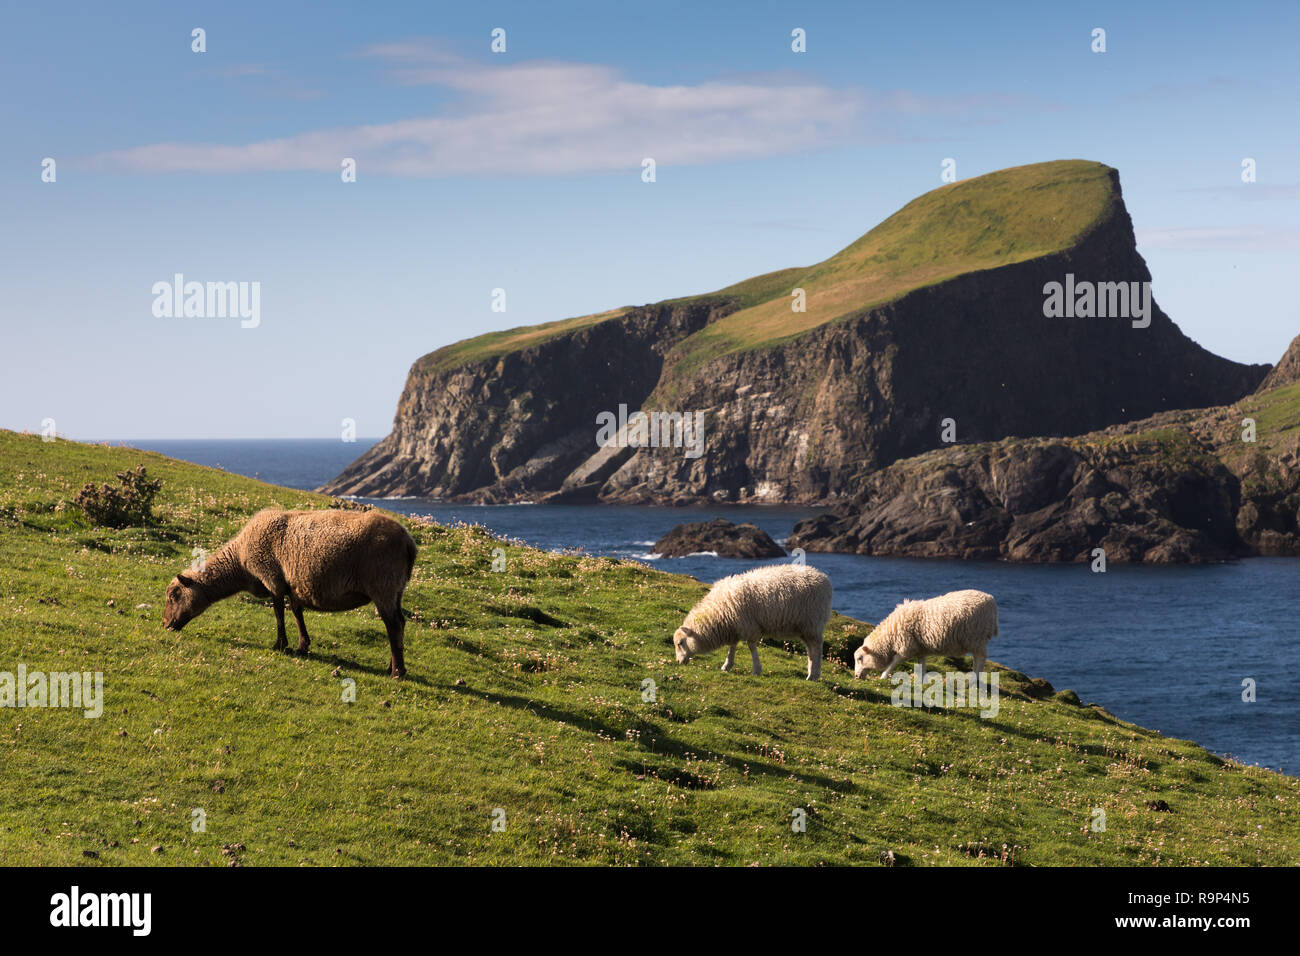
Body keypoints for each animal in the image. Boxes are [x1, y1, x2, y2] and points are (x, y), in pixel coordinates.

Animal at [162, 508, 417, 677]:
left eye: (174, 595)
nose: (165, 624)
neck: (240, 563)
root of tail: (408, 542)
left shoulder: (271, 577)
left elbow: (278, 612)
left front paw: (280, 645)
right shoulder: (293, 584)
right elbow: (296, 612)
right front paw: (303, 646)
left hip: (383, 585)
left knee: (393, 624)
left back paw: (397, 671)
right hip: (396, 589)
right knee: (400, 623)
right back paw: (392, 665)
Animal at [673, 564, 832, 680]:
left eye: (680, 643)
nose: (678, 662)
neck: (720, 611)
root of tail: (823, 578)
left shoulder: (748, 625)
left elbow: (750, 646)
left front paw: (756, 669)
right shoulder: (735, 625)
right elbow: (732, 645)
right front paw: (727, 665)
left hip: (813, 623)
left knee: (817, 648)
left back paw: (813, 675)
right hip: (805, 626)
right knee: (811, 649)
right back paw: (811, 672)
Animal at [853, 589, 997, 681]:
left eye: (860, 658)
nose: (856, 676)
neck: (890, 636)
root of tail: (990, 599)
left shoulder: (907, 646)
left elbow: (894, 661)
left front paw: (883, 676)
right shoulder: (920, 649)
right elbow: (921, 665)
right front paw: (923, 681)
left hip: (976, 637)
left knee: (980, 659)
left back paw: (974, 680)